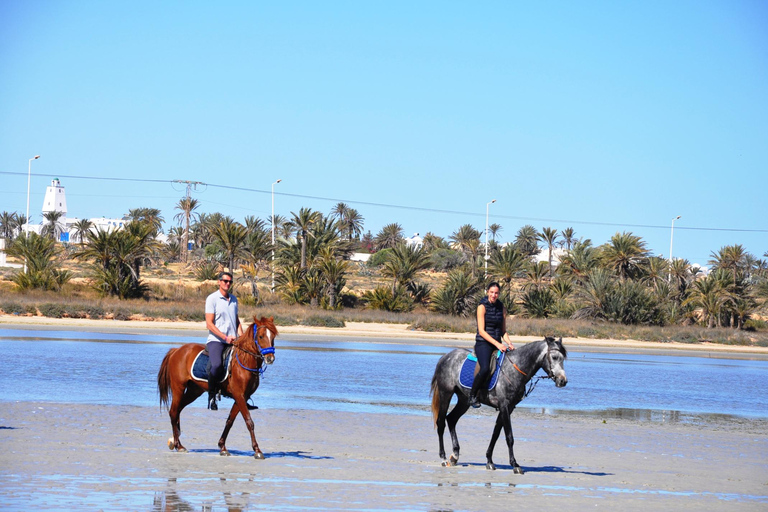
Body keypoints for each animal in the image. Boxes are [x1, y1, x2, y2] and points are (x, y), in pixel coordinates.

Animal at [157, 314, 280, 458]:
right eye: (260, 336)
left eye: (273, 336)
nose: (270, 358)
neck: (244, 361)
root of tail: (177, 350)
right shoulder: (239, 396)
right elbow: (249, 422)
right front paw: (257, 450)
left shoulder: (241, 397)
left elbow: (230, 421)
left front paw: (222, 447)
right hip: (178, 388)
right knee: (173, 412)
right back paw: (178, 445)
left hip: (194, 391)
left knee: (178, 410)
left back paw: (175, 441)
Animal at [428, 336, 568, 476]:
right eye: (554, 357)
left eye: (563, 359)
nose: (563, 381)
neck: (514, 369)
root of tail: (446, 356)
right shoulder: (504, 406)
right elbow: (509, 436)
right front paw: (515, 465)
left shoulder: (508, 408)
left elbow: (495, 434)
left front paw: (489, 461)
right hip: (445, 394)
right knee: (441, 423)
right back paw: (443, 458)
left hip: (463, 401)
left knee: (451, 419)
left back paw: (455, 456)